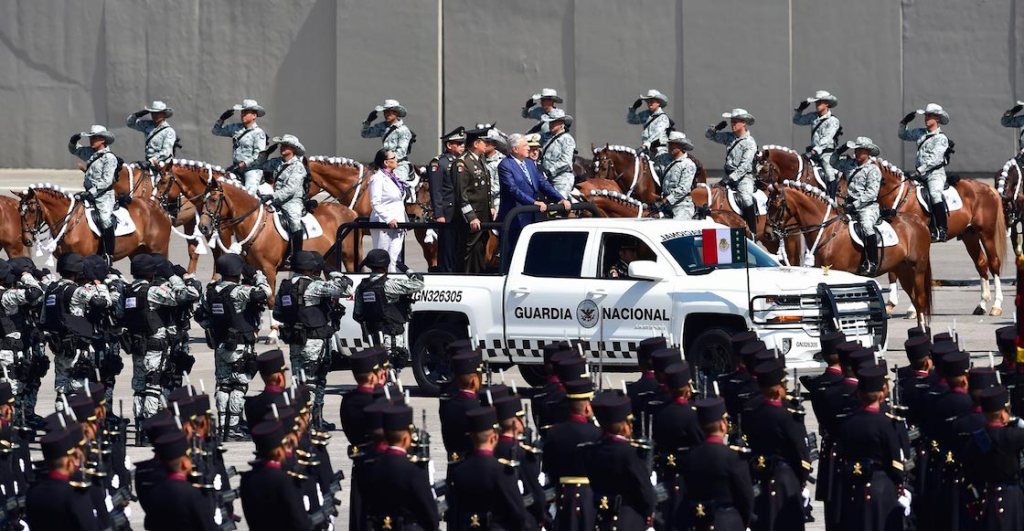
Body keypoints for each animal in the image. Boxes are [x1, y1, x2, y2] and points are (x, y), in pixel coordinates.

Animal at [17, 185, 169, 263]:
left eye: (32, 210)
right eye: (19, 210)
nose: (26, 240)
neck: (71, 223)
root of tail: (158, 207)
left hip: (158, 250)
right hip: (138, 252)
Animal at [195, 179, 360, 294]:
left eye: (214, 199)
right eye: (203, 200)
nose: (203, 227)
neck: (257, 226)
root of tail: (350, 211)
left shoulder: (269, 270)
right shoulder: (252, 269)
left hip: (349, 258)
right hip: (329, 259)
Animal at [765, 185, 933, 329]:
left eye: (776, 205)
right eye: (767, 204)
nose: (768, 233)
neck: (828, 231)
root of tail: (919, 222)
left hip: (917, 269)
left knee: (920, 299)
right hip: (903, 270)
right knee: (915, 299)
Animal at [872, 156, 1007, 315]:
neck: (900, 198)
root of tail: (988, 188)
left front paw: (913, 309)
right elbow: (892, 272)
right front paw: (891, 304)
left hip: (986, 234)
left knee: (994, 263)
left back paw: (996, 306)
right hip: (970, 236)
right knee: (981, 263)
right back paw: (982, 304)